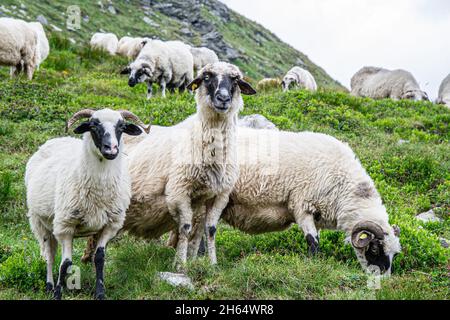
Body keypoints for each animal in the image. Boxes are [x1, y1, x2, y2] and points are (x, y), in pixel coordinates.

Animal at [25, 109, 149, 298]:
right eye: (93, 125)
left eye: (121, 127)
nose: (111, 149)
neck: (99, 192)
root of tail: (58, 139)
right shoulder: (65, 226)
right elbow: (65, 263)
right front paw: (57, 294)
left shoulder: (110, 225)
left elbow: (99, 259)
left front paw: (100, 293)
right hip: (39, 222)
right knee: (49, 256)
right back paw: (49, 285)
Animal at [118, 62, 256, 268]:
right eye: (206, 77)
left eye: (236, 80)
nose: (223, 98)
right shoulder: (179, 191)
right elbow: (185, 227)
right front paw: (180, 265)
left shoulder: (218, 195)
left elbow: (209, 229)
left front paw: (212, 264)